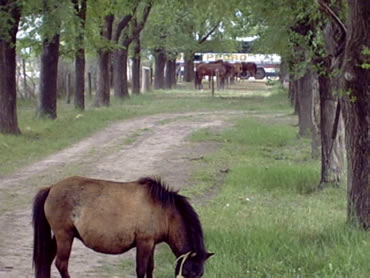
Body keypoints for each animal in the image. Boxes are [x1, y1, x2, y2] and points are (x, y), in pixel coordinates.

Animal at [32, 177, 214, 276]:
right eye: (189, 272)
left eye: (200, 274)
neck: (163, 210)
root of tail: (51, 188)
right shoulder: (144, 243)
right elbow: (141, 270)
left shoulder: (151, 244)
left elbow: (150, 269)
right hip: (64, 236)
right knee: (61, 264)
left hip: (59, 237)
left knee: (47, 260)